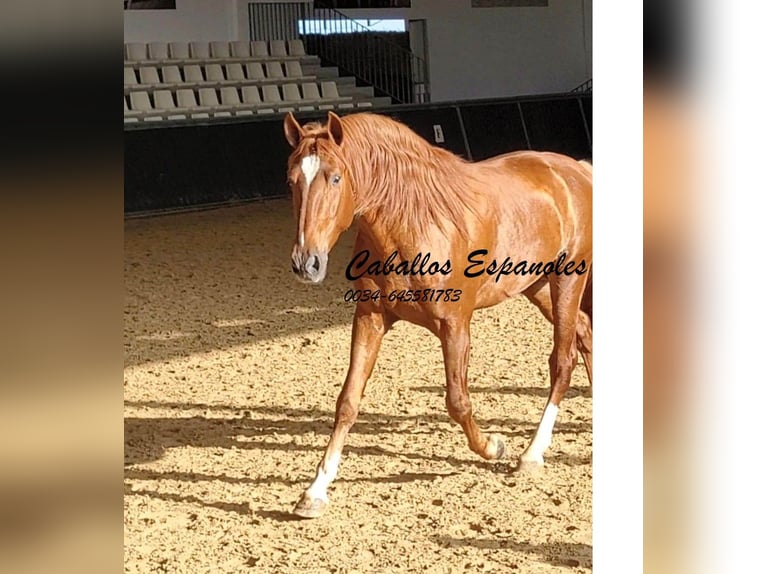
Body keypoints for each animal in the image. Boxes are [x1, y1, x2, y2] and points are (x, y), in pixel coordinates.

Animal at [282, 110, 592, 520]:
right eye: (292, 180)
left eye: (335, 177)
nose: (307, 263)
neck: (414, 223)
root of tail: (576, 170)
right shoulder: (369, 317)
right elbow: (348, 401)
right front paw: (315, 491)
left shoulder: (455, 326)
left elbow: (458, 402)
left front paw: (494, 447)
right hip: (536, 286)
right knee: (586, 333)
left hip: (568, 280)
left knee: (562, 360)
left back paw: (532, 454)